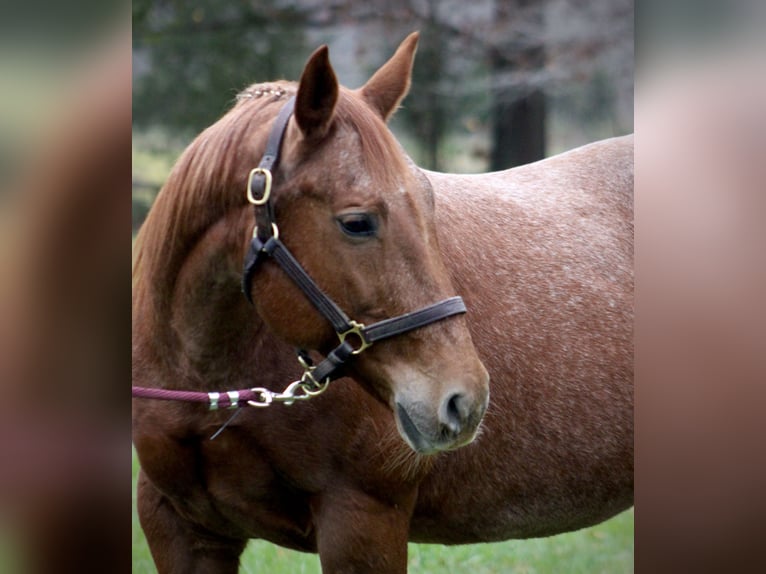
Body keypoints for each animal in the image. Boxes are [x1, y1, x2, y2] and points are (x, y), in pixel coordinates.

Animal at [134, 33, 636, 572]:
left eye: (431, 204)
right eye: (357, 223)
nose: (464, 399)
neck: (204, 376)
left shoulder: (363, 522)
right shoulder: (181, 528)